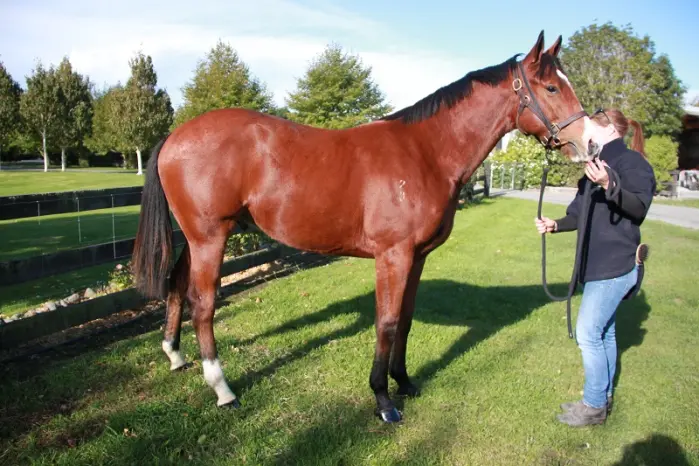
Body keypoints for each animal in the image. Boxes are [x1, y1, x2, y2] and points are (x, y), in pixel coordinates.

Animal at [132, 31, 594, 423]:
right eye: (551, 88)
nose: (588, 143)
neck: (425, 152)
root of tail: (175, 137)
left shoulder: (417, 258)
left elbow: (405, 319)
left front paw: (405, 382)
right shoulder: (393, 255)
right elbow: (386, 322)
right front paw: (383, 400)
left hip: (195, 238)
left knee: (176, 285)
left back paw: (175, 356)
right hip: (210, 237)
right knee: (204, 305)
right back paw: (222, 388)